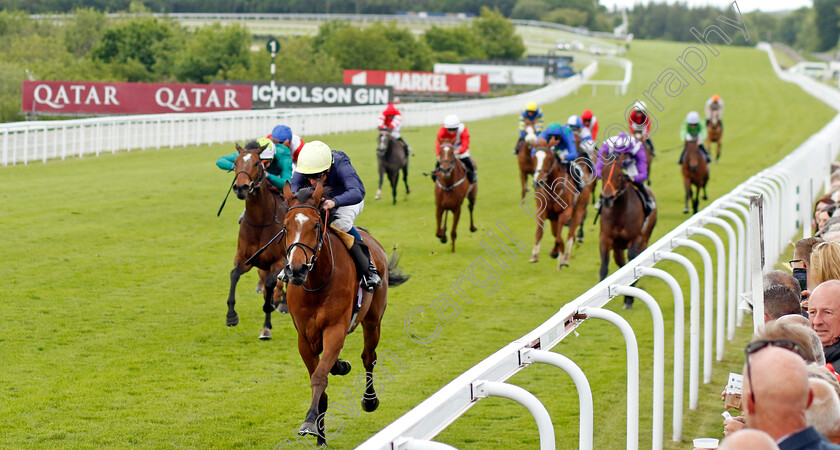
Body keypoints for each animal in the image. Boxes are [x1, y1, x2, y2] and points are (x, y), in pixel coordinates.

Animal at [226, 140, 288, 338]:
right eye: (235, 163)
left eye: (256, 163)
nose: (241, 187)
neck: (261, 222)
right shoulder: (245, 258)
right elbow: (234, 274)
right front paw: (231, 315)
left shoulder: (279, 260)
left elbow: (270, 285)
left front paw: (266, 326)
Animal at [280, 182, 408, 446]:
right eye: (286, 226)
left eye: (315, 225)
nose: (296, 270)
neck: (316, 285)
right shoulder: (304, 338)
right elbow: (319, 377)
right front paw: (320, 437)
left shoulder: (335, 328)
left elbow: (320, 376)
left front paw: (309, 422)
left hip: (373, 320)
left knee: (369, 356)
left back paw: (369, 399)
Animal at [596, 153, 656, 308]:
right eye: (603, 173)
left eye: (619, 175)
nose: (607, 198)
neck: (619, 212)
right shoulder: (605, 238)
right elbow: (604, 267)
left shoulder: (635, 239)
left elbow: (632, 262)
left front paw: (629, 299)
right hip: (617, 247)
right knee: (621, 262)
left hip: (644, 240)